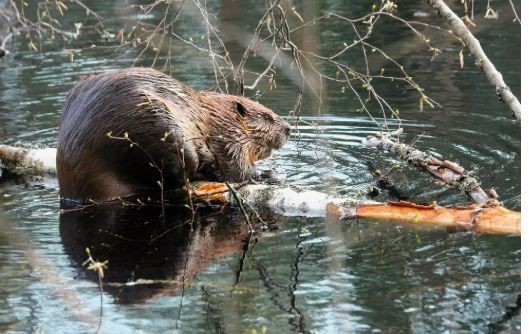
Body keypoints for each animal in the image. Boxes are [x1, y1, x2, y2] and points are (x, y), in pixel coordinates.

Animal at [56, 67, 288, 204]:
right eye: (267, 117)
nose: (288, 128)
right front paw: (271, 173)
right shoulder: (226, 142)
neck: (213, 115)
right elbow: (237, 171)